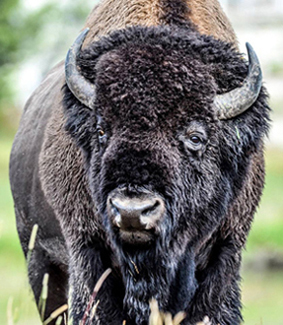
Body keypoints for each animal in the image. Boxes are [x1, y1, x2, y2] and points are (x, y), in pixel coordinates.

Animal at [8, 0, 270, 324]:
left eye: (195, 136)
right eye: (101, 130)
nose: (132, 211)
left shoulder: (226, 250)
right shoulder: (86, 250)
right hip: (39, 259)